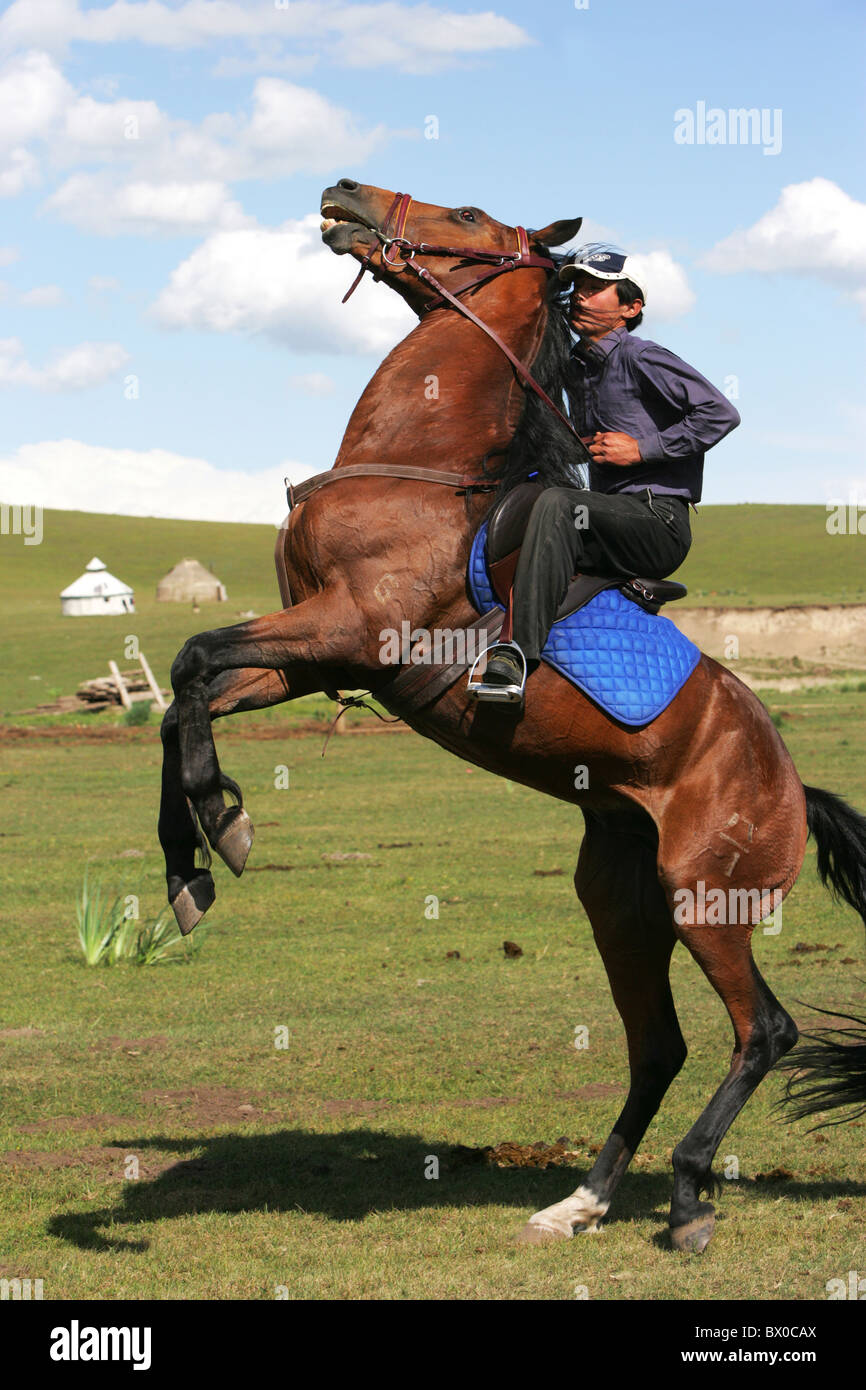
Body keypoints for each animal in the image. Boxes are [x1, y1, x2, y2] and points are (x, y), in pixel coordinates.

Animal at [158, 178, 866, 1253]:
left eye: (466, 214)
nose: (344, 191)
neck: (414, 462)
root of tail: (790, 782)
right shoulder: (309, 657)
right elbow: (183, 693)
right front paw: (193, 860)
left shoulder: (347, 631)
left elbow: (194, 659)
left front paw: (220, 824)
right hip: (622, 898)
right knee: (659, 1046)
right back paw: (584, 1199)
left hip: (708, 898)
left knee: (764, 1033)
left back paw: (689, 1197)